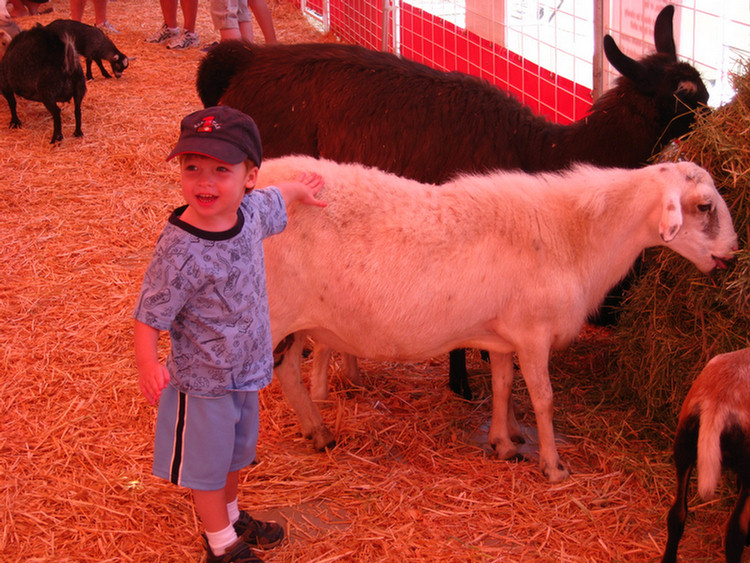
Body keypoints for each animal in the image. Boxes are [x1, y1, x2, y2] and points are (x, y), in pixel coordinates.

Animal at [195, 4, 712, 400]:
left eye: (703, 84)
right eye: (685, 95)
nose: (717, 114)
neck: (541, 149)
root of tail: (244, 66)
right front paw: (463, 383)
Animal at [260, 156, 740, 482]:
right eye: (704, 206)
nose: (733, 254)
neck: (574, 236)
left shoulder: (504, 334)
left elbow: (504, 386)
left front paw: (504, 442)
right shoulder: (533, 334)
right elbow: (543, 398)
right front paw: (553, 466)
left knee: (287, 370)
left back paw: (318, 432)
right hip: (273, 315)